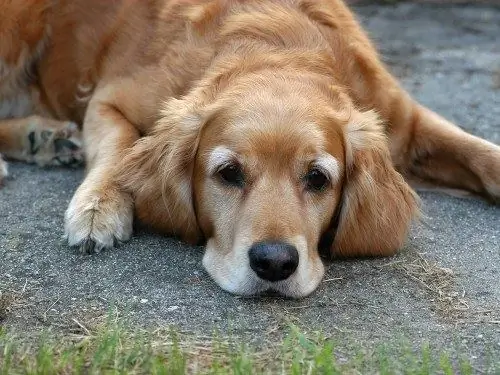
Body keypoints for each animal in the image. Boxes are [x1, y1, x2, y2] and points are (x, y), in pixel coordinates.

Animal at [0, 0, 500, 296]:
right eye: (228, 173)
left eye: (318, 178)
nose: (274, 263)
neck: (282, 48)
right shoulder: (108, 97)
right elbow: (119, 147)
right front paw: (99, 207)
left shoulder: (403, 121)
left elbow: (480, 153)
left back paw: (43, 138)